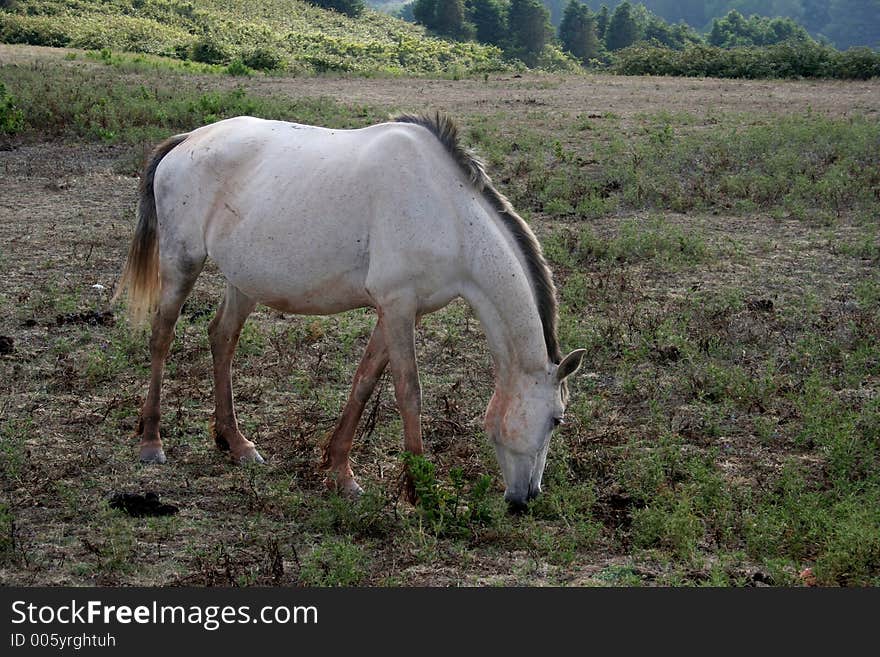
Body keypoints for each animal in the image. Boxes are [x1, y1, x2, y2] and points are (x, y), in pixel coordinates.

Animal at [115, 113, 584, 510]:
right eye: (556, 420)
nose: (527, 498)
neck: (448, 212)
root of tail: (187, 140)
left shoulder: (400, 310)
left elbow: (363, 382)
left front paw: (340, 474)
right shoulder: (397, 304)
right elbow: (408, 393)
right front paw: (420, 491)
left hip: (243, 280)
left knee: (222, 337)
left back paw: (236, 443)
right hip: (182, 260)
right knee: (162, 336)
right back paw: (152, 441)